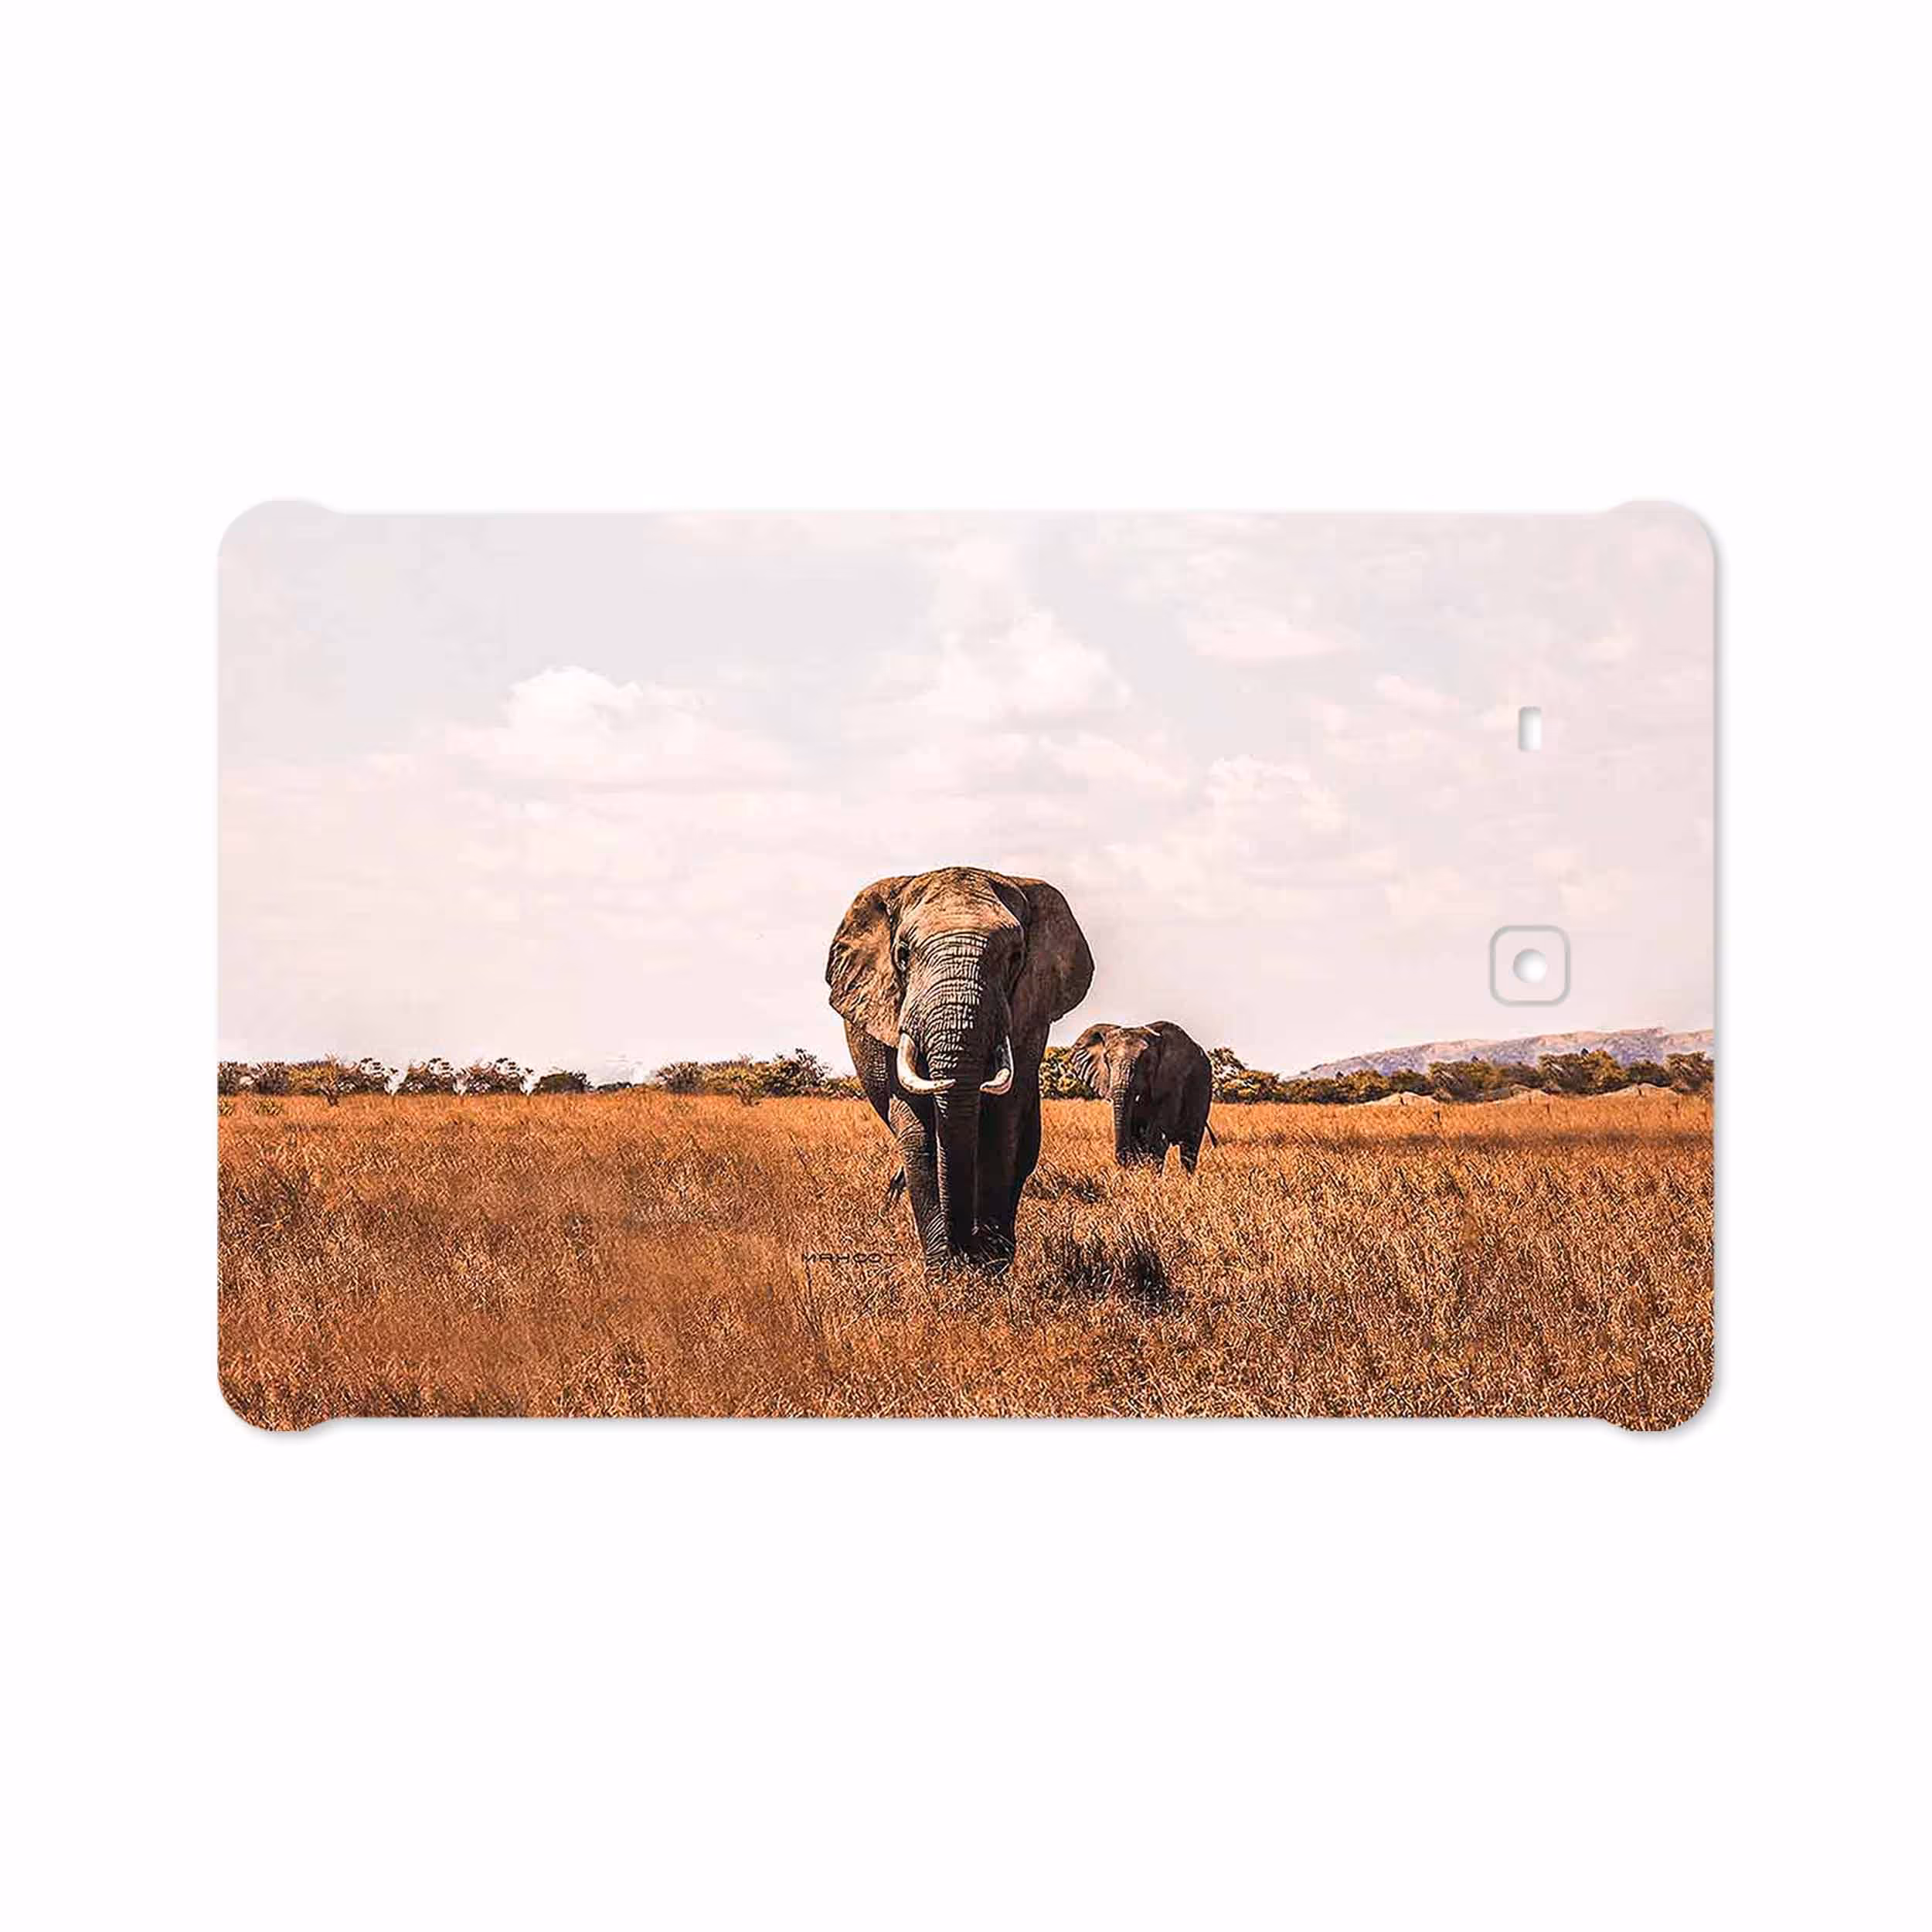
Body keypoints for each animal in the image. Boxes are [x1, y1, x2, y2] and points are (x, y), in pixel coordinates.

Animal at [827, 866, 1093, 1269]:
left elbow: (1002, 1124)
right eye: (903, 955)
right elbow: (918, 1132)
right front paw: (945, 1273)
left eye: (1016, 956)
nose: (966, 1248)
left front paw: (989, 1268)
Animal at [1071, 1021, 1216, 1173]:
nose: (1123, 1163)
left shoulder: (1173, 1080)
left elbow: (1157, 1135)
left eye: (1146, 1061)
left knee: (1189, 1145)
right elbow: (1135, 1133)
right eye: (1106, 1060)